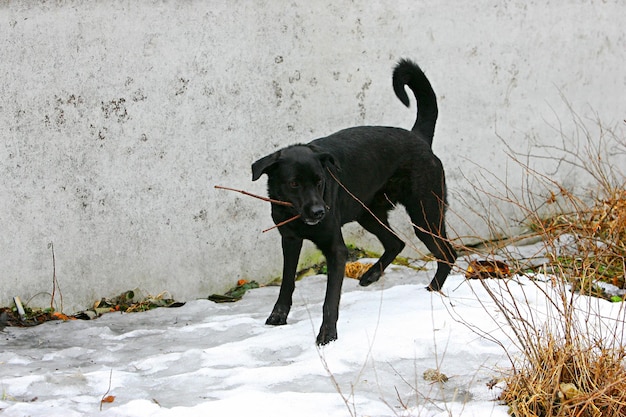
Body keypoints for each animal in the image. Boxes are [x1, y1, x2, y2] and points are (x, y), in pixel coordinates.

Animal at [251, 59, 456, 344]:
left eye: (320, 181)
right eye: (293, 184)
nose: (319, 212)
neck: (299, 215)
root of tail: (419, 138)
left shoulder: (336, 250)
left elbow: (330, 300)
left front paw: (327, 334)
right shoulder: (290, 241)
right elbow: (286, 283)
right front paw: (278, 316)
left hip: (425, 214)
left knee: (448, 253)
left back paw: (432, 289)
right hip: (368, 213)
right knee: (397, 242)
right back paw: (372, 274)